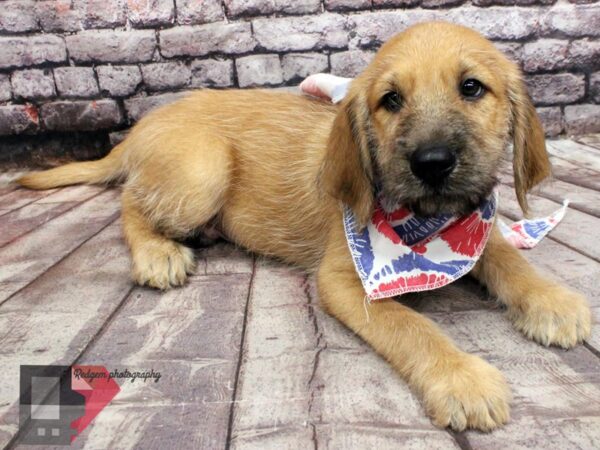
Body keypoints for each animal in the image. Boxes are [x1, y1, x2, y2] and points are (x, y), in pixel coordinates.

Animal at [18, 22, 592, 432]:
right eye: (391, 100)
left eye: (472, 88)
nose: (432, 163)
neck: (429, 227)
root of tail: (142, 126)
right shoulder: (346, 280)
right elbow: (411, 326)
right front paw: (461, 379)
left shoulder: (471, 229)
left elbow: (506, 256)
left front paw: (552, 300)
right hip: (202, 169)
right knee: (130, 203)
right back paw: (158, 253)